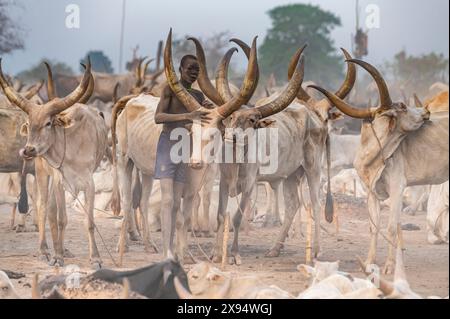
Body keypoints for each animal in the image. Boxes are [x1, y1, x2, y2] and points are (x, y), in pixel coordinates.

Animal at [312, 58, 448, 274]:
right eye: (402, 106)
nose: (426, 111)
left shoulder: (397, 188)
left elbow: (392, 227)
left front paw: (390, 266)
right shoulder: (371, 192)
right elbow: (374, 227)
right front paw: (369, 263)